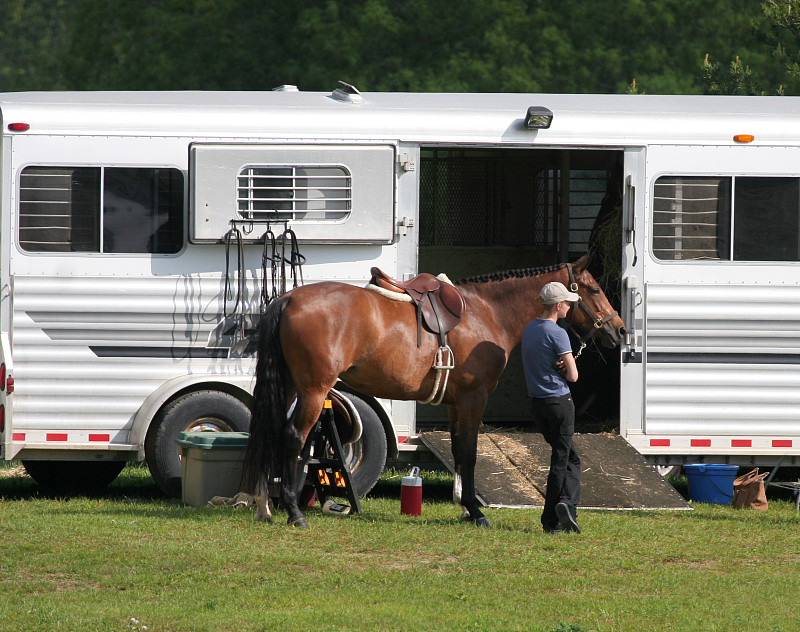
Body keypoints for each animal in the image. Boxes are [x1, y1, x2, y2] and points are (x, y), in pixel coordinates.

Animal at [241, 254, 628, 524]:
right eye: (594, 289)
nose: (621, 330)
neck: (486, 312)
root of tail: (288, 299)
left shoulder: (456, 403)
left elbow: (458, 450)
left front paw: (465, 507)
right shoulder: (474, 398)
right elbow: (469, 452)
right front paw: (476, 511)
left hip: (293, 388)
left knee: (270, 432)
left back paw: (264, 505)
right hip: (314, 389)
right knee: (293, 437)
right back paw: (294, 512)